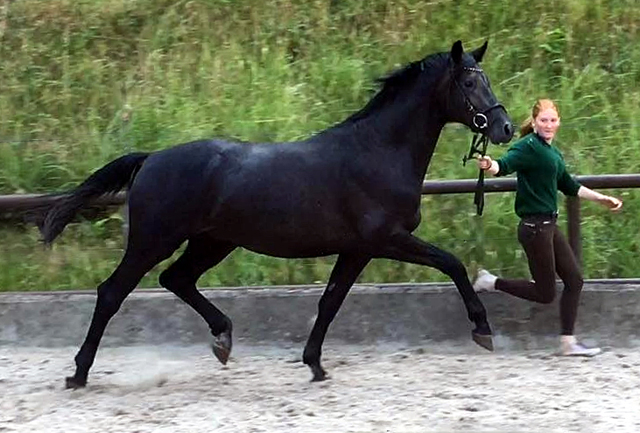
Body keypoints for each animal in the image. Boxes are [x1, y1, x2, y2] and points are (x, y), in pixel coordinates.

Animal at [41, 40, 516, 386]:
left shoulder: (357, 250)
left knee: (176, 279)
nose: (505, 128)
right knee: (112, 292)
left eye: (486, 80)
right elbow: (452, 264)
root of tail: (151, 158)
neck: (378, 152)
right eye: (469, 83)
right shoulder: (386, 240)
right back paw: (79, 373)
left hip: (212, 242)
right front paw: (482, 329)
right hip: (153, 241)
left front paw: (315, 364)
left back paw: (223, 338)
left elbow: (330, 302)